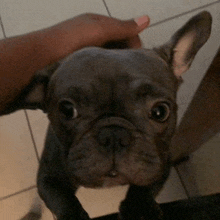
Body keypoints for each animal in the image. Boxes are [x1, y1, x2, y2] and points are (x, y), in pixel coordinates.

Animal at [3, 11, 211, 220]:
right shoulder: (49, 179)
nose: (114, 135)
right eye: (67, 110)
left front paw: (140, 209)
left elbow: (145, 187)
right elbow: (62, 200)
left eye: (160, 112)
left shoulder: (160, 163)